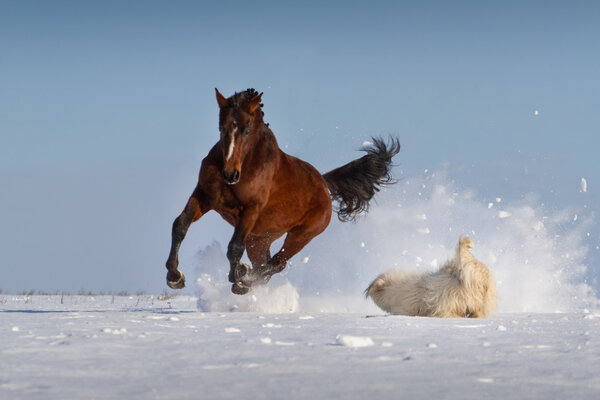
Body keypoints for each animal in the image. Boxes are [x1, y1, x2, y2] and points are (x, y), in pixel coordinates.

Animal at [165, 89, 398, 294]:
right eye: (221, 128)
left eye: (247, 130)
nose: (230, 174)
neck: (249, 164)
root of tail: (323, 184)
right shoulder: (204, 196)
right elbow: (180, 225)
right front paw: (175, 277)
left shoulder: (251, 208)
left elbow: (234, 247)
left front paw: (238, 275)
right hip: (259, 239)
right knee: (265, 263)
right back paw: (246, 278)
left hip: (301, 235)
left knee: (277, 262)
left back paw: (243, 280)